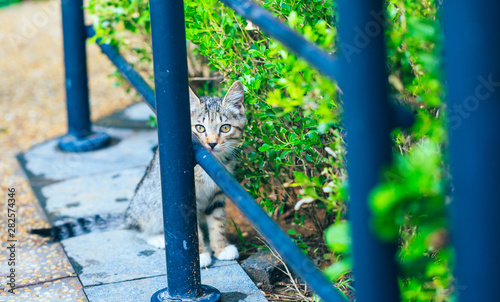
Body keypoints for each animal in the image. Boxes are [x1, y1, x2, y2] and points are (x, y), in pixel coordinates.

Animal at [125, 80, 246, 266]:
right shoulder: (187, 198)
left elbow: (217, 220)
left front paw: (221, 247)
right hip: (148, 203)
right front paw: (200, 255)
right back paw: (158, 238)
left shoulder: (217, 193)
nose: (212, 143)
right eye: (199, 128)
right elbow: (191, 230)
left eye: (225, 128)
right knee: (136, 227)